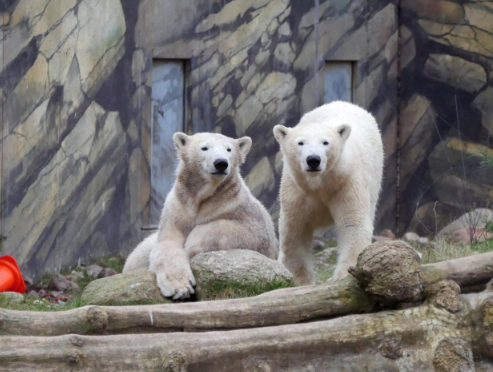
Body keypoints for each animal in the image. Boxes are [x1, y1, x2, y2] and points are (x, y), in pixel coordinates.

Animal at [123, 133, 276, 300]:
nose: (221, 163)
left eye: (229, 149)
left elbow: (252, 233)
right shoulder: (177, 209)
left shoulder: (239, 206)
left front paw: (191, 244)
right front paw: (180, 288)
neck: (201, 196)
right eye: (204, 148)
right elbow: (167, 244)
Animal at [274, 100, 382, 284]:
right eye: (300, 143)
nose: (313, 160)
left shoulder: (346, 183)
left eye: (325, 142)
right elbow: (295, 228)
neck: (320, 183)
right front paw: (299, 281)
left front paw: (343, 276)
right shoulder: (296, 189)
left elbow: (353, 224)